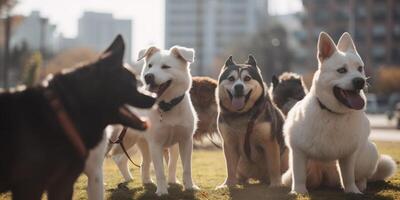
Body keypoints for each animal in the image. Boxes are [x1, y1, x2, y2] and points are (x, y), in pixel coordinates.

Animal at [216, 55, 284, 188]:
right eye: (231, 78)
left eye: (247, 78)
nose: (238, 87)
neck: (242, 115)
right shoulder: (229, 143)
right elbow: (230, 167)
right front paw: (228, 184)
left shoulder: (270, 142)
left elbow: (274, 165)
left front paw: (275, 184)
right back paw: (240, 181)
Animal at [282, 32, 396, 195]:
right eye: (341, 70)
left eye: (360, 68)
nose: (360, 81)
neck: (332, 112)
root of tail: (325, 178)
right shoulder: (298, 152)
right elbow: (299, 176)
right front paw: (298, 191)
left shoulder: (348, 155)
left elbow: (348, 176)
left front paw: (353, 191)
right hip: (293, 174)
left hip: (369, 152)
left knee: (362, 176)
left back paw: (360, 184)